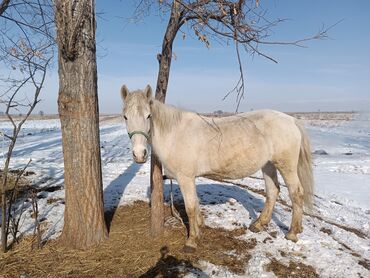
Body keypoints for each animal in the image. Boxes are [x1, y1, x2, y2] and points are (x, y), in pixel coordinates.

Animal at [120, 84, 314, 252]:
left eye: (148, 116)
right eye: (125, 117)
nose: (139, 154)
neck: (175, 134)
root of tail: (291, 120)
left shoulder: (185, 178)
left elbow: (190, 207)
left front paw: (192, 241)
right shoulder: (190, 179)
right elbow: (195, 204)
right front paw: (200, 227)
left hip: (286, 166)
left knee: (296, 193)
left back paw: (292, 233)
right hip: (267, 165)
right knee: (273, 191)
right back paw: (259, 224)